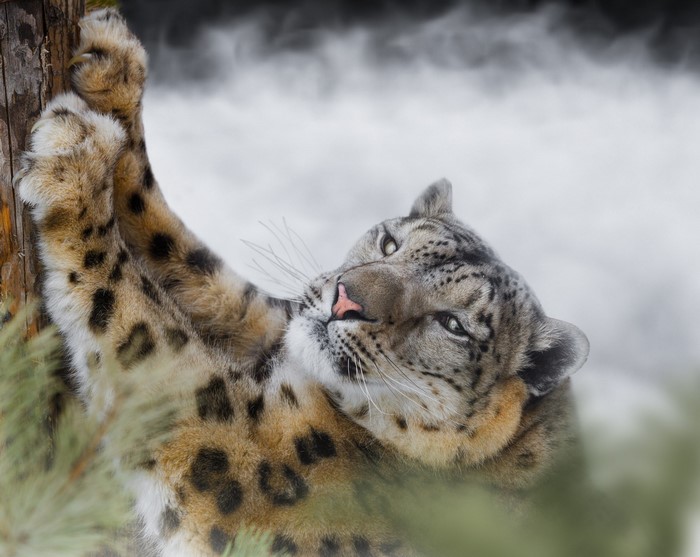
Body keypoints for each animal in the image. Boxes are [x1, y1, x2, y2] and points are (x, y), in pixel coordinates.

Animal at [16, 8, 589, 557]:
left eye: (452, 324)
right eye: (390, 243)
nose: (345, 300)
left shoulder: (243, 457)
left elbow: (146, 334)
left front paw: (74, 160)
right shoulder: (268, 320)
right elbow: (179, 248)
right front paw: (113, 70)